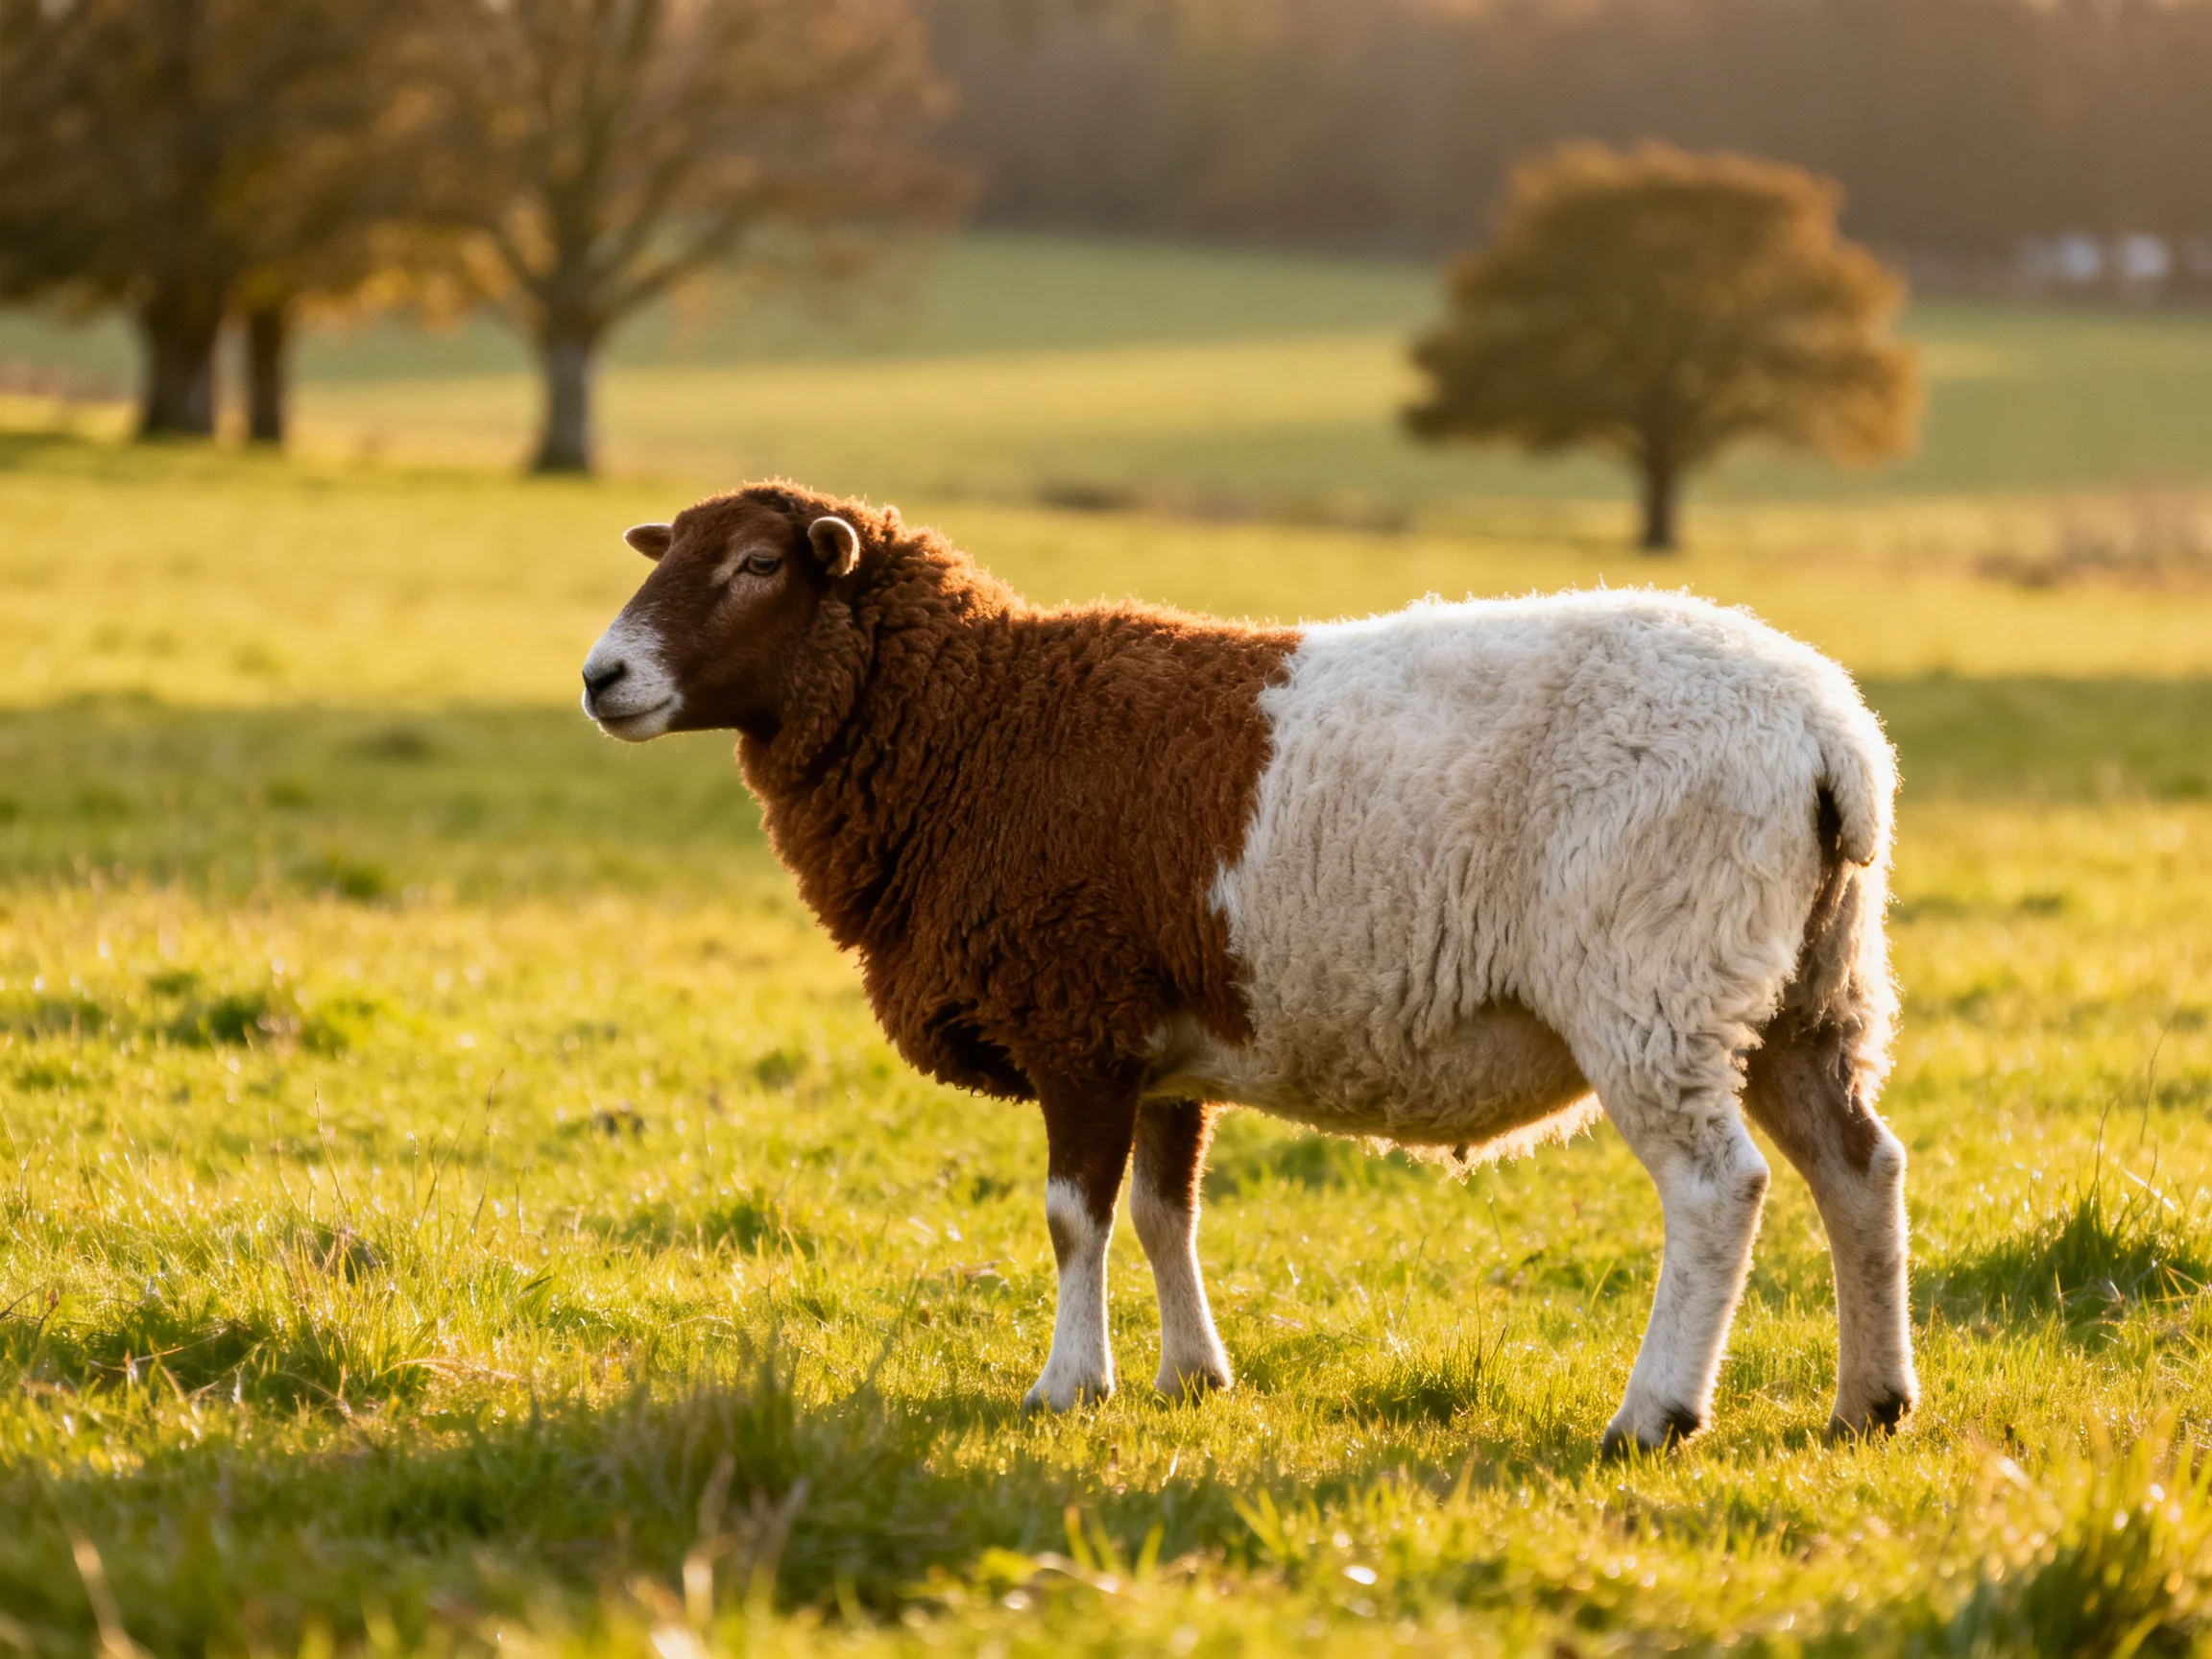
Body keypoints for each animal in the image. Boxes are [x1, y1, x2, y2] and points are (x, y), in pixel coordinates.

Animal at [580, 482, 1915, 1454]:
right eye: (672, 549)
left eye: (759, 566)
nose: (602, 677)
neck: (977, 724)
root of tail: (1833, 741)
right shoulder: (1159, 1047)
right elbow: (1165, 1211)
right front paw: (1192, 1376)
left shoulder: (1075, 1017)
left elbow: (1075, 1216)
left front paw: (1068, 1387)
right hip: (1807, 991)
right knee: (1859, 1168)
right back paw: (1871, 1405)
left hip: (1658, 984)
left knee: (1719, 1189)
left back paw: (1655, 1417)